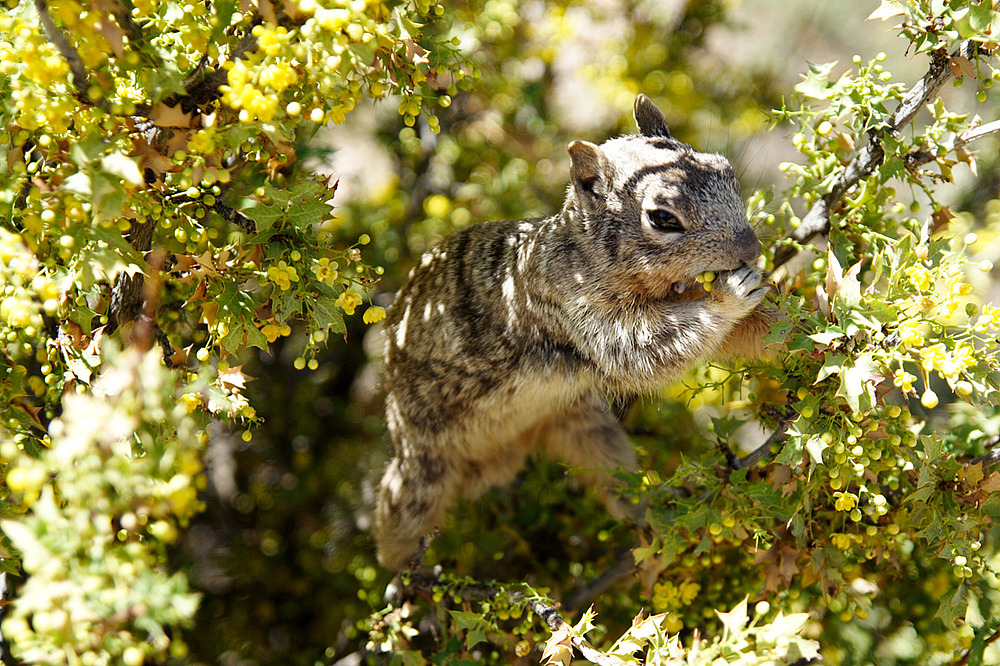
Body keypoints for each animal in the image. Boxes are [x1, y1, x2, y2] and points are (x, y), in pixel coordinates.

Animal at [376, 94, 772, 572]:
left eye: (725, 168)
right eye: (662, 218)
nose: (751, 248)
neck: (586, 254)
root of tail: (497, 462)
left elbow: (738, 334)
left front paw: (805, 327)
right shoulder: (576, 310)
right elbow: (645, 350)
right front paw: (731, 296)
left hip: (587, 428)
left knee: (613, 483)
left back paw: (651, 514)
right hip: (419, 476)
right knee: (394, 524)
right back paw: (403, 577)